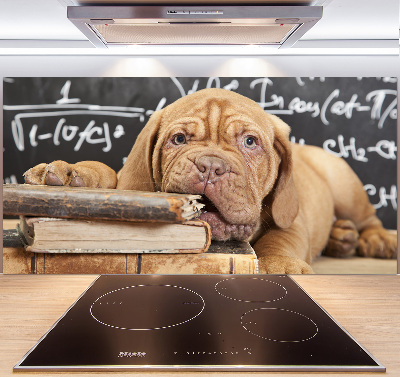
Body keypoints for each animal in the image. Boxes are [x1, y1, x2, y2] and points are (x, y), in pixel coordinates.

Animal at [25, 87, 396, 274]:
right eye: (178, 139)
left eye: (250, 142)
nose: (210, 166)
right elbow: (112, 176)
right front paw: (69, 175)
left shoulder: (292, 221)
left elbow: (280, 239)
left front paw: (280, 266)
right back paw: (341, 237)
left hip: (345, 184)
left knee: (369, 218)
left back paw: (374, 240)